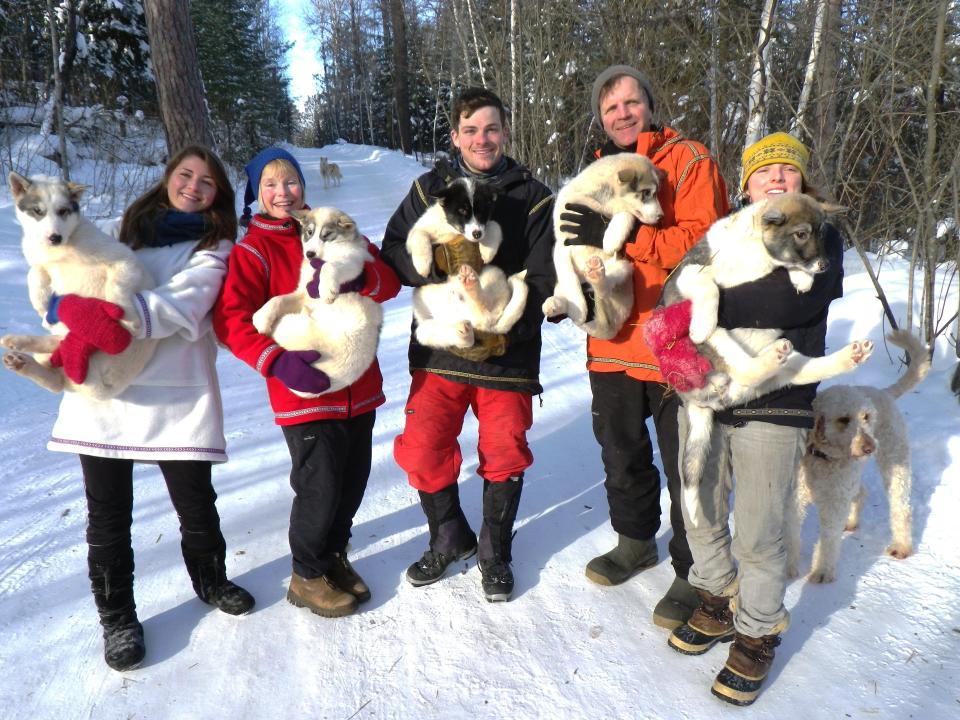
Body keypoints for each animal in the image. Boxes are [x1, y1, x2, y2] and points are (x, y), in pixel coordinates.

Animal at [1, 173, 156, 400]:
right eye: (38, 211)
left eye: (63, 211)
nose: (54, 238)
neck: (62, 248)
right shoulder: (39, 260)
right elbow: (34, 272)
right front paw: (40, 302)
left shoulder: (127, 261)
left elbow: (117, 288)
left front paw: (130, 321)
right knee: (56, 371)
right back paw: (19, 351)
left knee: (59, 374)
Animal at [253, 207, 384, 400]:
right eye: (309, 232)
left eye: (326, 235)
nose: (310, 254)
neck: (329, 252)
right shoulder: (302, 293)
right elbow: (277, 299)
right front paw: (261, 317)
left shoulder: (352, 263)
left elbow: (328, 267)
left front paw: (326, 290)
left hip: (293, 325)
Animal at [544, 153, 664, 338]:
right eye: (646, 192)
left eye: (656, 193)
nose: (661, 216)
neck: (603, 201)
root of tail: (612, 326)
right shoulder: (561, 247)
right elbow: (571, 283)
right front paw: (580, 309)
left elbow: (626, 214)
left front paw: (611, 238)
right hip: (562, 285)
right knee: (566, 295)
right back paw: (554, 305)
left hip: (623, 268)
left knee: (604, 288)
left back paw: (596, 275)